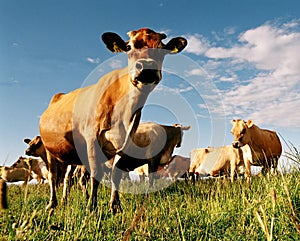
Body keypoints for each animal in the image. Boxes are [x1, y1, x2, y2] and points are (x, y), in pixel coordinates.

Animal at [36, 28, 186, 213]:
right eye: (128, 47)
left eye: (162, 49)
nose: (146, 67)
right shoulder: (92, 139)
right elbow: (95, 174)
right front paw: (91, 207)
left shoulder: (125, 143)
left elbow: (116, 174)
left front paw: (115, 206)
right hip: (49, 149)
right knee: (53, 175)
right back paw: (52, 204)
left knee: (68, 178)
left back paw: (65, 200)